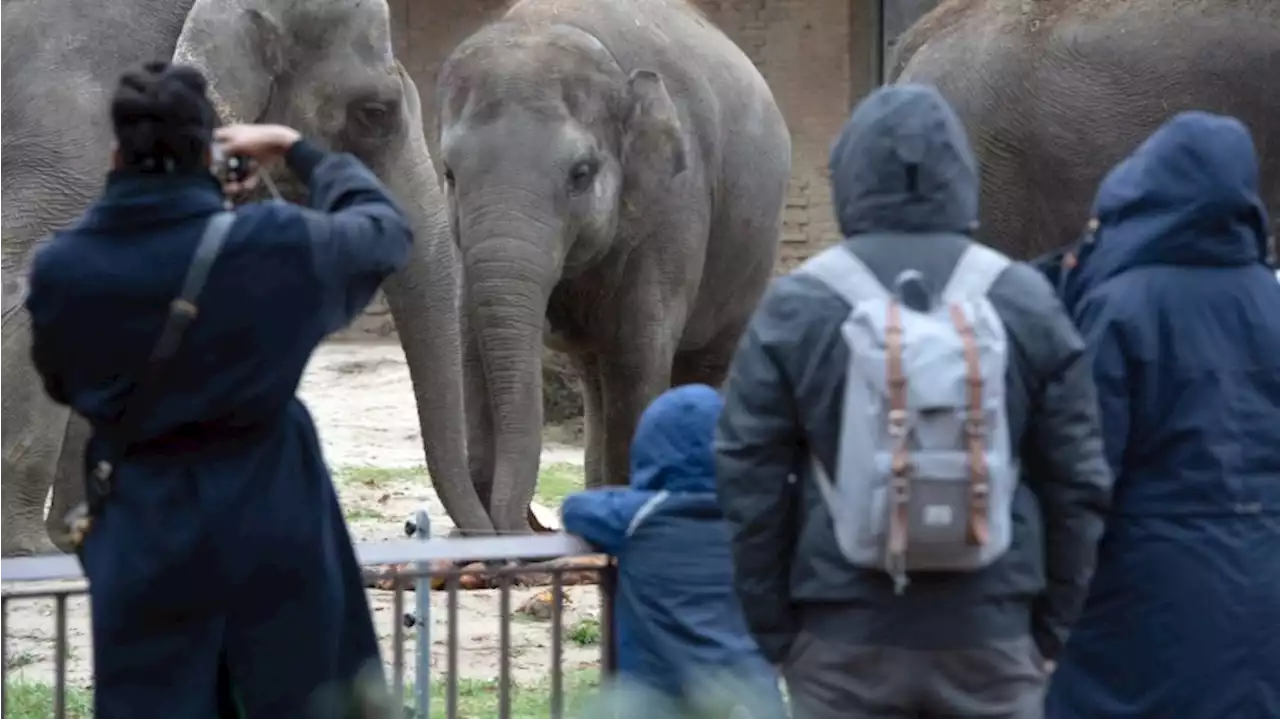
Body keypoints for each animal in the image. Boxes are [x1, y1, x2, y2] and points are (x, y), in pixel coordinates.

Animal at [437, 0, 788, 532]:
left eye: (580, 175)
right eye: (450, 174)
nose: (536, 524)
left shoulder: (673, 205)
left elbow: (636, 354)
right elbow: (471, 346)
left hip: (751, 253)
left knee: (701, 364)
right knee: (594, 374)